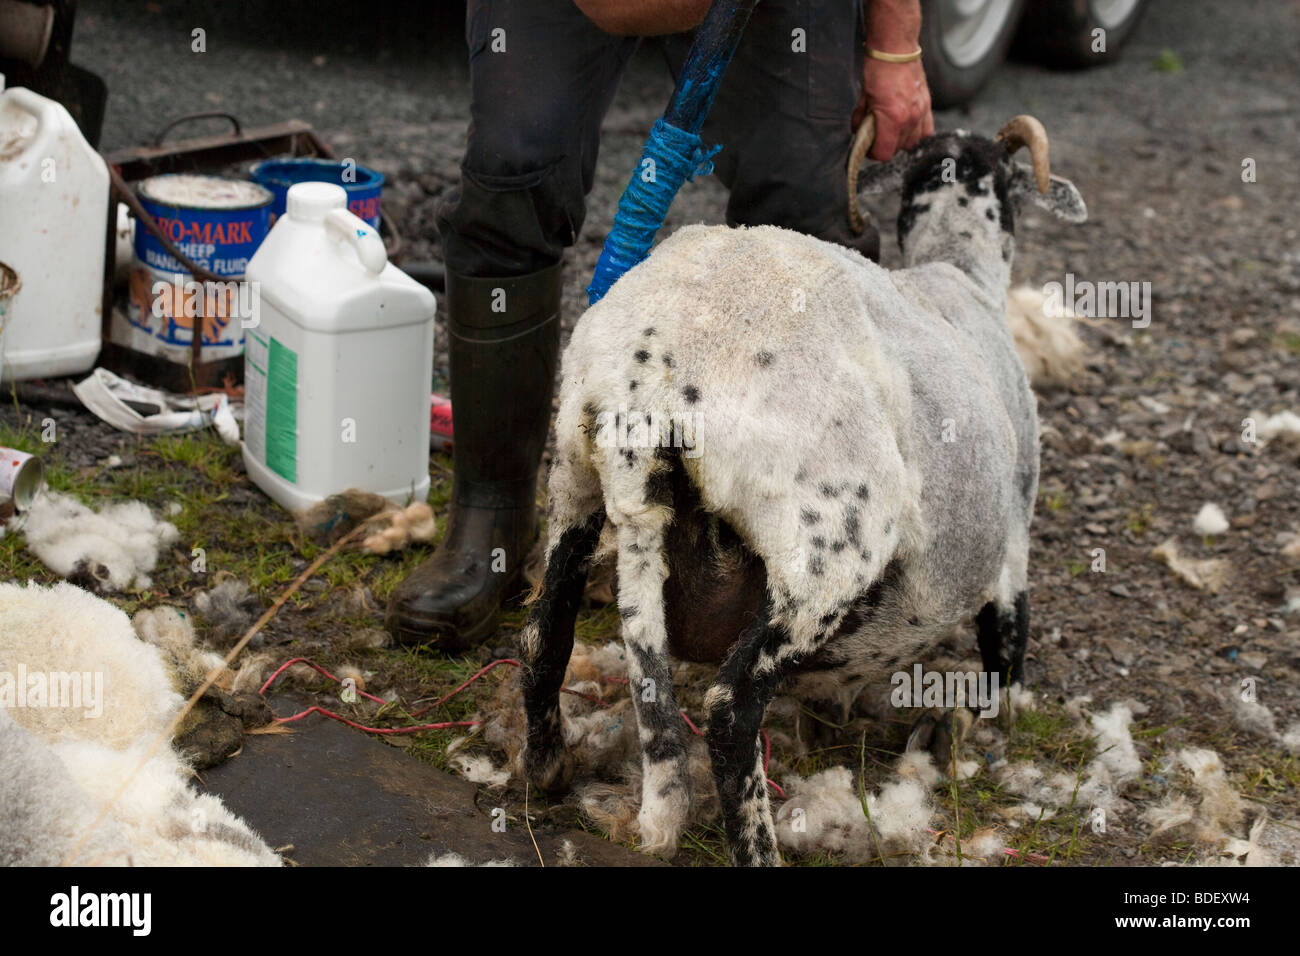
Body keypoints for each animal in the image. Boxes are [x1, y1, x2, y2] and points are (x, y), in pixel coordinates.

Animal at [517, 117, 1086, 868]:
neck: (958, 270)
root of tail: (652, 369)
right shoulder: (1016, 524)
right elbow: (1009, 635)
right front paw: (1006, 715)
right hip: (827, 537)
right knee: (730, 708)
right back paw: (759, 849)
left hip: (574, 478)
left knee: (543, 637)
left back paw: (546, 769)